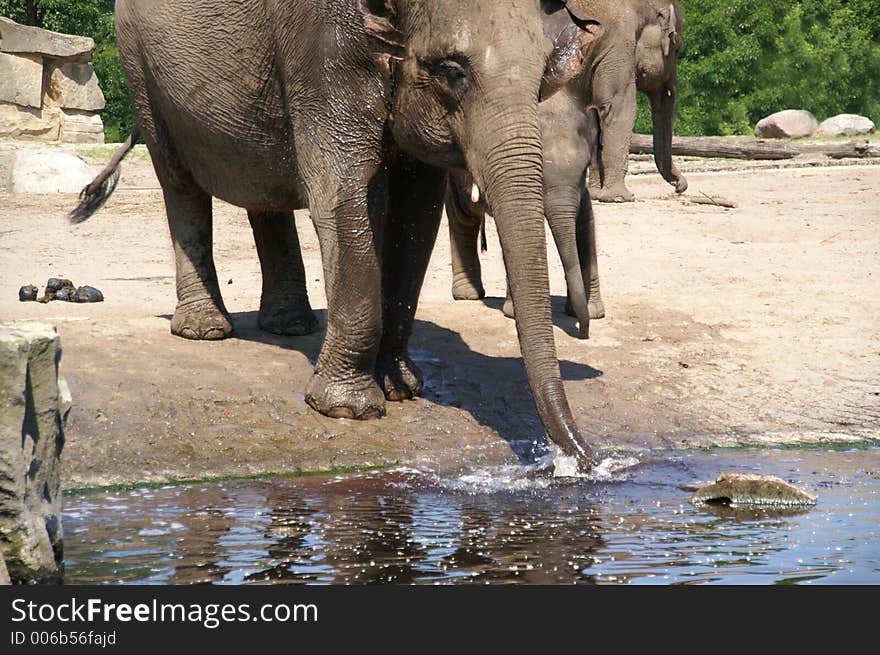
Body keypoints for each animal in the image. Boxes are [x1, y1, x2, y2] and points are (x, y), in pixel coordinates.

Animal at [446, 93, 604, 338]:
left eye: (586, 167)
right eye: (538, 171)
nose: (584, 334)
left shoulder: (582, 191)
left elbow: (586, 225)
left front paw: (594, 312)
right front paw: (512, 313)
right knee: (462, 217)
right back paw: (468, 295)